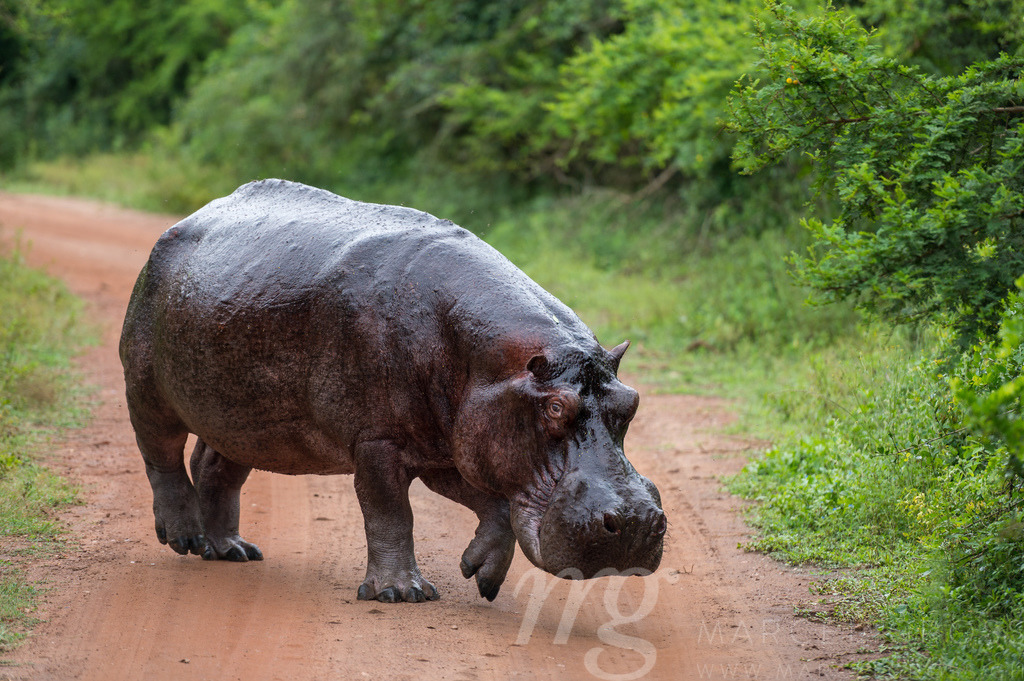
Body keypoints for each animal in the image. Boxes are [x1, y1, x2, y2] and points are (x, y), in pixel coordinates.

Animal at [119, 179, 666, 603]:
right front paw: (402, 592)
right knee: (161, 455)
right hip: (146, 385)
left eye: (631, 402)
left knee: (214, 467)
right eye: (554, 406)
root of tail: (190, 217)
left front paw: (481, 576)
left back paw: (231, 550)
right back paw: (184, 536)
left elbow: (494, 505)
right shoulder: (378, 439)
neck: (491, 364)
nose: (638, 520)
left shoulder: (450, 444)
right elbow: (389, 511)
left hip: (243, 420)